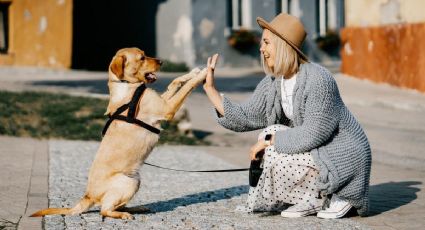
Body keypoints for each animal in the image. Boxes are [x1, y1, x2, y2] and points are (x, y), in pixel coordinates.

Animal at [29, 48, 219, 219]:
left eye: (145, 54)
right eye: (142, 58)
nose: (161, 61)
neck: (127, 86)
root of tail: (88, 196)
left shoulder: (163, 101)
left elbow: (175, 81)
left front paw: (192, 72)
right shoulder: (167, 108)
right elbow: (187, 87)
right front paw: (203, 74)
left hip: (135, 180)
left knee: (115, 206)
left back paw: (136, 208)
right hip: (128, 181)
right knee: (104, 210)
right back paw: (123, 215)